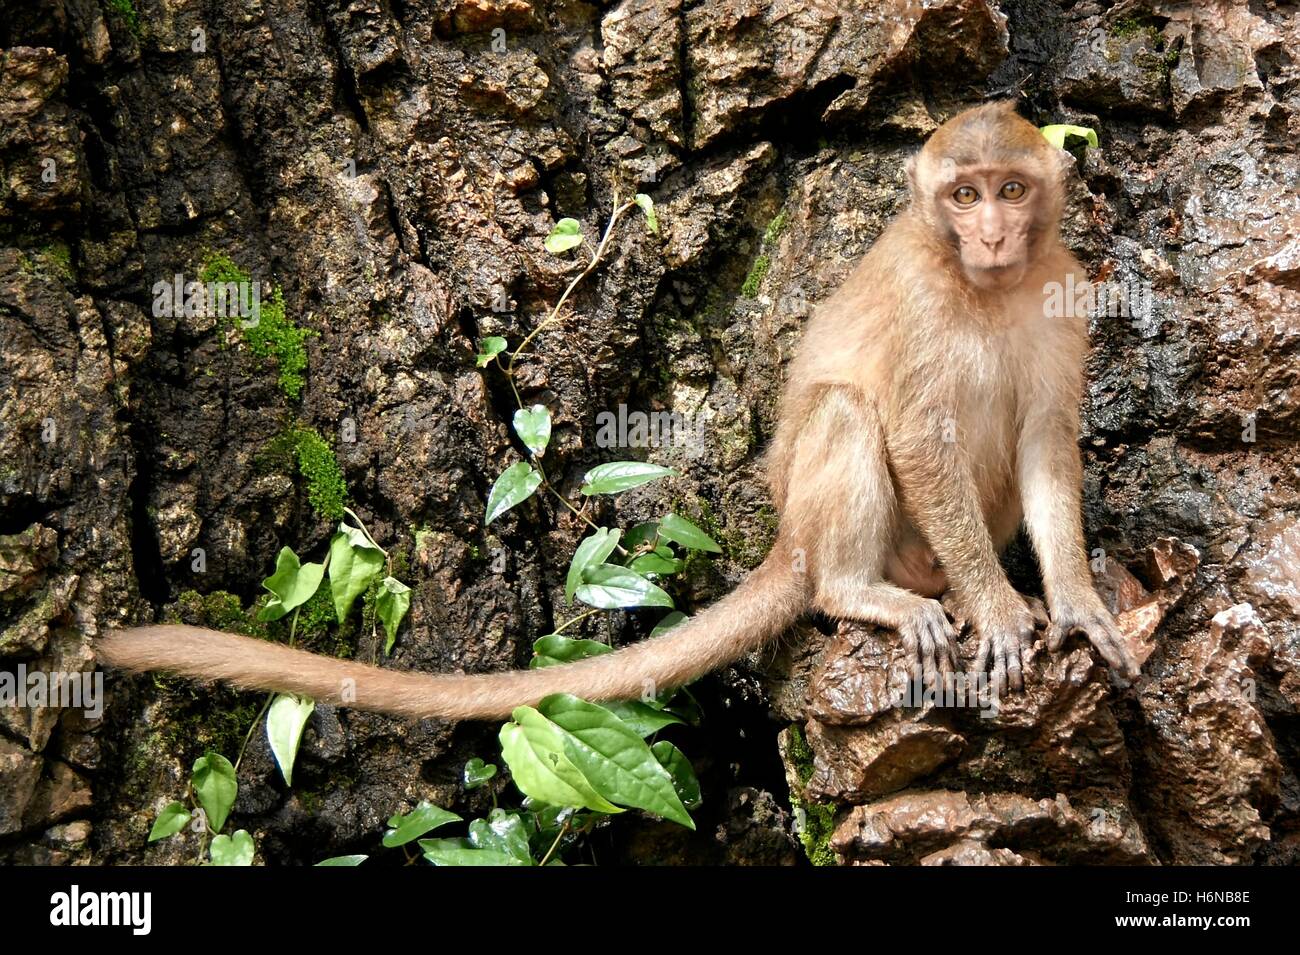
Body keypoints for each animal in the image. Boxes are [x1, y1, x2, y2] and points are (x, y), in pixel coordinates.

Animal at [101, 98, 1138, 722]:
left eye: (1010, 189)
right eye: (964, 195)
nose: (992, 232)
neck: (984, 289)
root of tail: (789, 544)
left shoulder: (1063, 294)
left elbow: (1048, 442)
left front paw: (1075, 602)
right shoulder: (925, 299)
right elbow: (921, 436)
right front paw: (1000, 610)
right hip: (831, 529)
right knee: (848, 413)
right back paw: (860, 590)